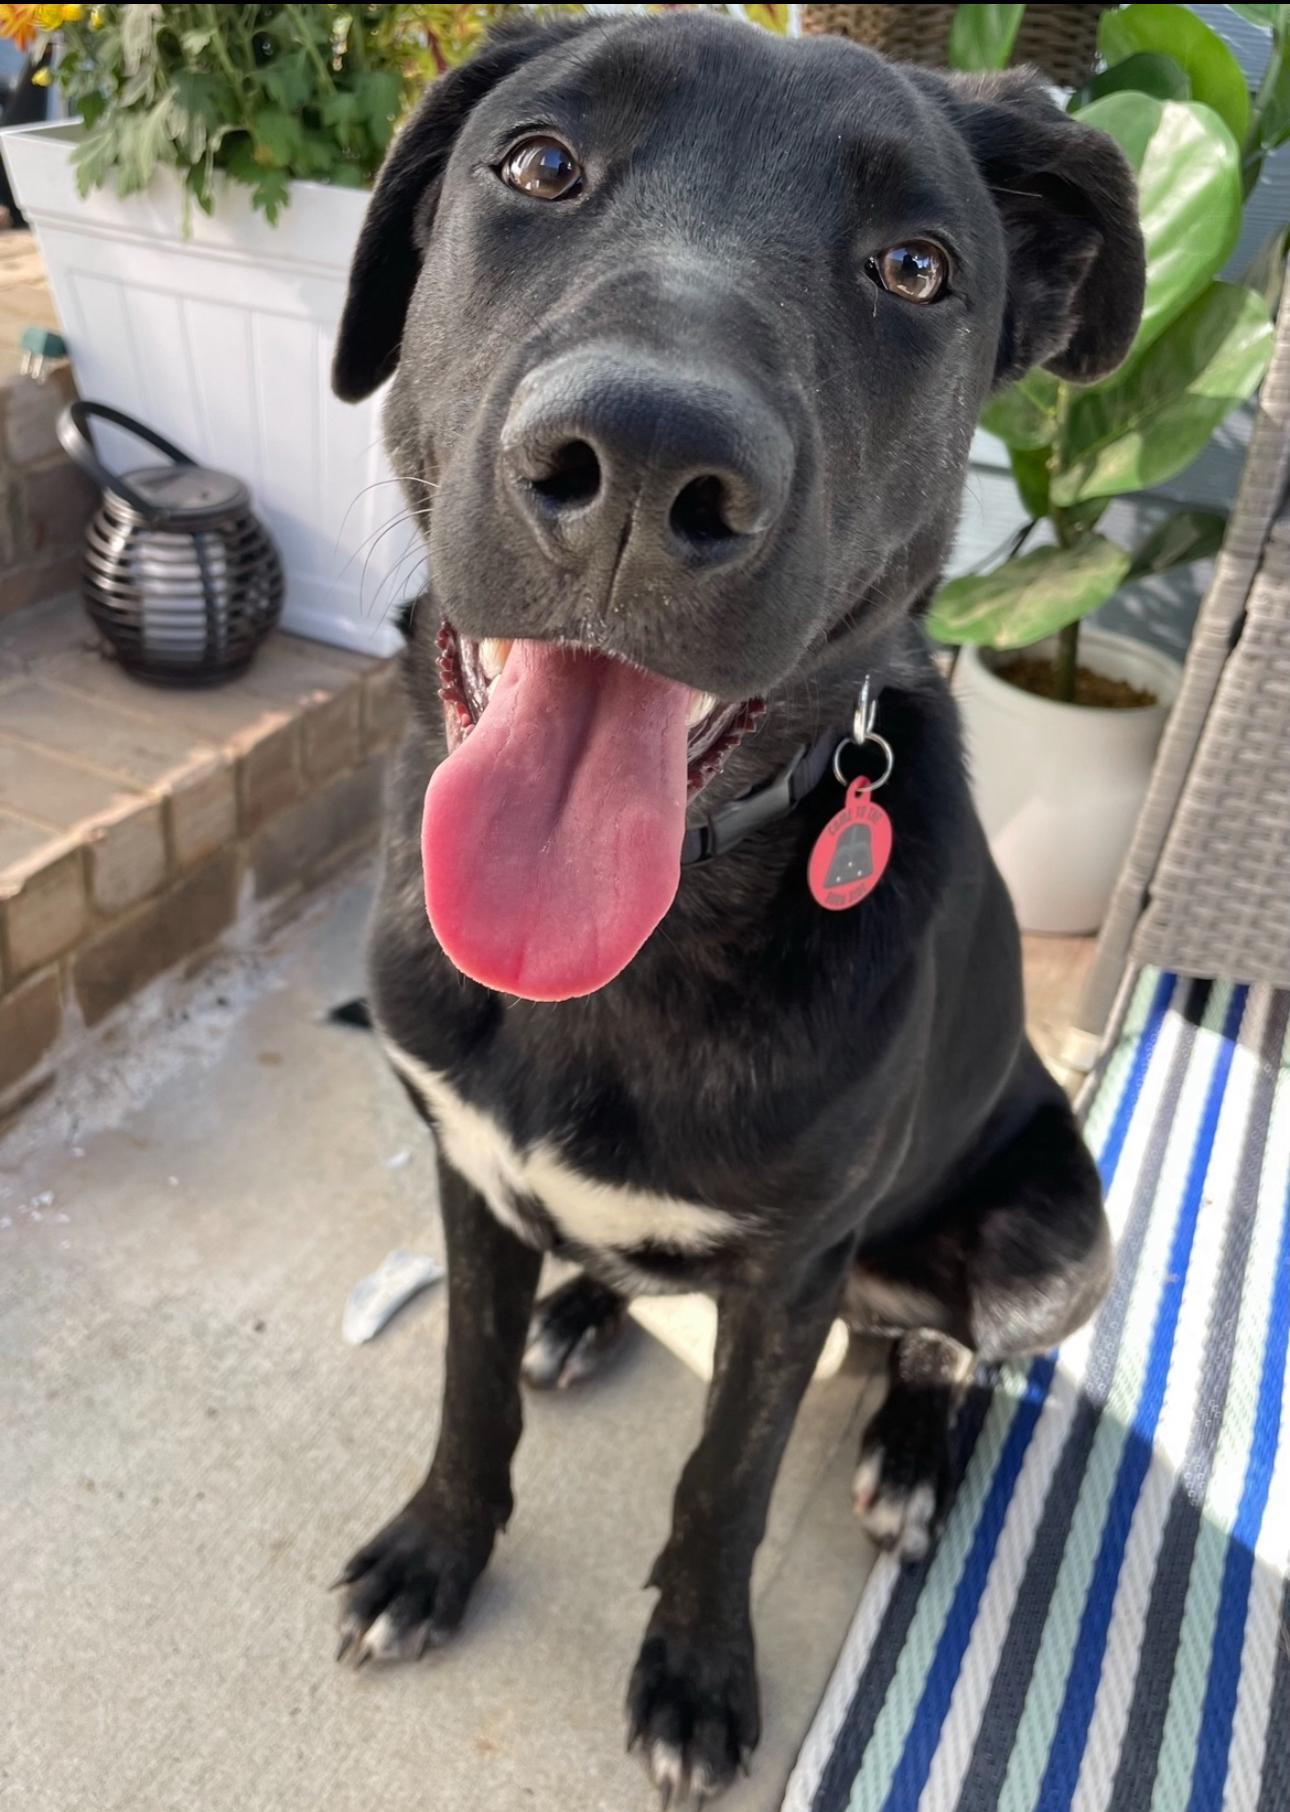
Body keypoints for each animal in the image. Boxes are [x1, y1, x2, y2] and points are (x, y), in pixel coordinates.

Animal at [329, 14, 1142, 1803]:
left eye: (913, 267)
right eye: (538, 162)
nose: (643, 467)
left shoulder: (789, 1281)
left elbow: (724, 1485)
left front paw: (697, 1678)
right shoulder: (463, 1173)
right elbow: (467, 1386)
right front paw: (433, 1552)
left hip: (1054, 1238)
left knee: (952, 1347)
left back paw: (910, 1451)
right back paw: (585, 1305)